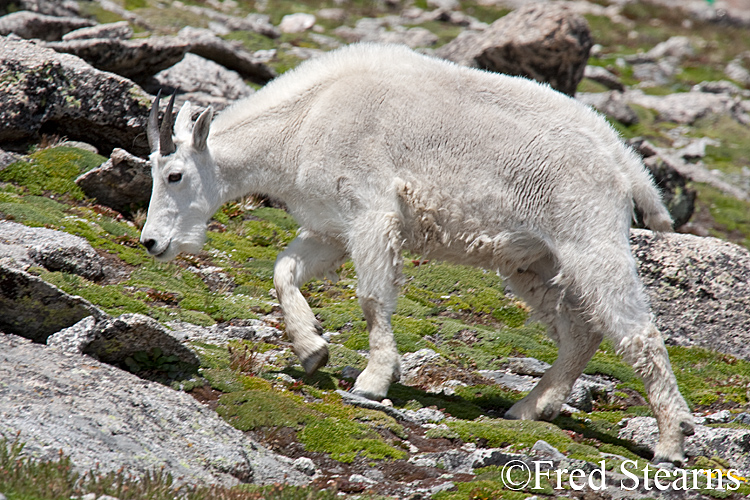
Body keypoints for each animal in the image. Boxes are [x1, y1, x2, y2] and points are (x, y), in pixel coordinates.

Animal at [142, 43, 700, 464]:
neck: (302, 122)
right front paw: (312, 349)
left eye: (175, 175)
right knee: (580, 329)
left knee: (638, 333)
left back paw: (671, 441)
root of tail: (624, 161)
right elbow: (284, 271)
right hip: (532, 260)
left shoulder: (371, 214)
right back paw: (529, 408)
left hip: (590, 239)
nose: (152, 242)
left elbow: (372, 299)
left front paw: (372, 381)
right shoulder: (331, 228)